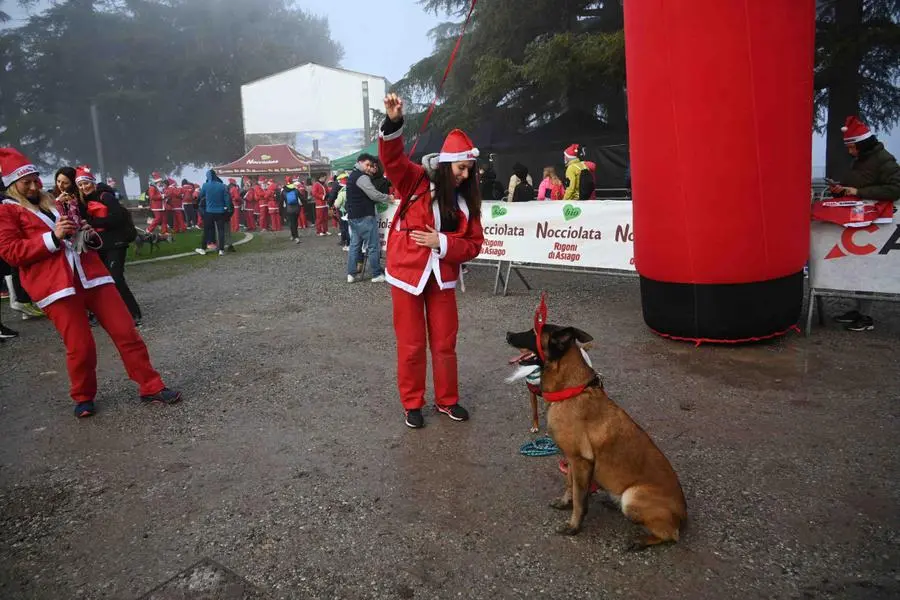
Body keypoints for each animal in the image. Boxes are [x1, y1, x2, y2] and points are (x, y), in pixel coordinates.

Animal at [506, 324, 688, 548]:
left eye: (534, 332)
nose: (507, 335)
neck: (571, 391)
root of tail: (683, 515)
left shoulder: (581, 461)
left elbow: (579, 499)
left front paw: (574, 526)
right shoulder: (572, 460)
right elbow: (570, 484)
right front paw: (565, 502)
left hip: (632, 497)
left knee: (670, 534)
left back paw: (640, 540)